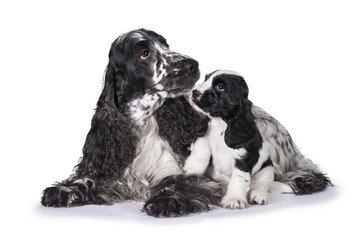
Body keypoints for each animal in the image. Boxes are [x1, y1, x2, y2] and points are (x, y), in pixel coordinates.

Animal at [41, 29, 330, 217]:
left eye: (166, 45)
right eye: (144, 53)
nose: (193, 64)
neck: (143, 122)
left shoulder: (178, 170)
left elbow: (175, 182)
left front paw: (168, 202)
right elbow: (87, 178)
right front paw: (64, 191)